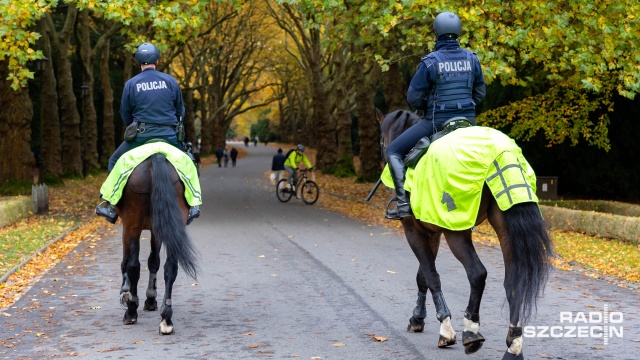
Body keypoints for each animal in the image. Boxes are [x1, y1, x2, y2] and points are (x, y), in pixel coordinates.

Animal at [115, 152, 199, 334]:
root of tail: (157, 155)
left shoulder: (127, 226)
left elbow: (127, 262)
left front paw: (126, 293)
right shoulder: (157, 229)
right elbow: (154, 261)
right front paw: (150, 299)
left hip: (133, 223)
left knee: (134, 266)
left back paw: (131, 311)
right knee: (170, 268)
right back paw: (166, 318)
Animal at [378, 109, 552, 360]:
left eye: (381, 142)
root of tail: (499, 153)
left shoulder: (414, 231)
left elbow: (431, 275)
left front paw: (445, 329)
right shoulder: (432, 231)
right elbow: (423, 275)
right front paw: (417, 318)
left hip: (456, 233)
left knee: (477, 273)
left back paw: (471, 332)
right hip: (505, 230)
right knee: (513, 283)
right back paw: (514, 346)